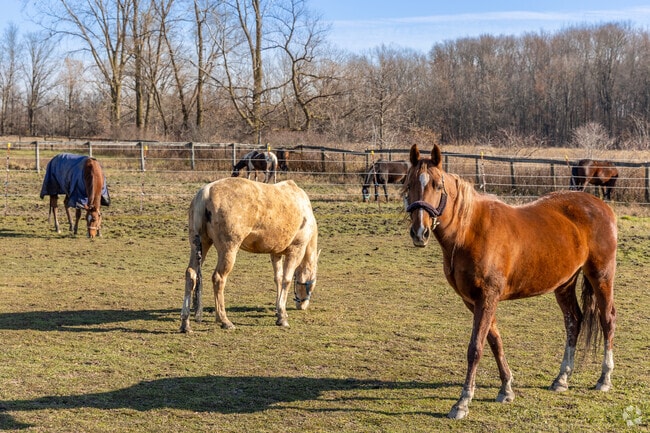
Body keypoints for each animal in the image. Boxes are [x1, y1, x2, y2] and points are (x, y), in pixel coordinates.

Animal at [180, 177, 320, 332]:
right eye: (312, 285)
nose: (302, 305)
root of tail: (206, 192)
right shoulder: (296, 250)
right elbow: (286, 280)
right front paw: (282, 317)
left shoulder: (275, 253)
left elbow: (278, 278)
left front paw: (279, 310)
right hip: (228, 249)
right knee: (218, 278)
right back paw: (224, 320)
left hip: (200, 245)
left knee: (191, 275)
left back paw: (185, 323)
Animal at [404, 144, 617, 420]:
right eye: (409, 183)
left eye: (438, 186)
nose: (420, 232)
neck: (469, 230)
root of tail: (602, 206)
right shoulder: (474, 301)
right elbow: (494, 341)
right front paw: (506, 388)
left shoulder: (487, 298)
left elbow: (475, 348)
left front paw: (463, 402)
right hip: (565, 283)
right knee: (574, 321)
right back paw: (561, 378)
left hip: (601, 276)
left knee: (607, 320)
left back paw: (604, 378)